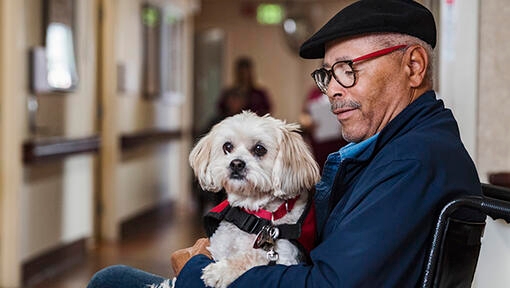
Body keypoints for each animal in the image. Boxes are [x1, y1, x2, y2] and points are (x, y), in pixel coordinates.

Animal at [185, 111, 318, 288]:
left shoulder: (284, 256)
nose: (236, 163)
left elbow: (254, 256)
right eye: (227, 147)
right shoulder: (219, 247)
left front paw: (221, 271)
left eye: (260, 149)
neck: (254, 215)